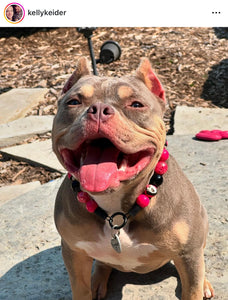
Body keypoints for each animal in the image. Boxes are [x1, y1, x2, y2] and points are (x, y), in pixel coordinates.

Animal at [52, 56, 215, 300]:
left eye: (136, 104)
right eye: (73, 102)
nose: (98, 109)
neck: (115, 209)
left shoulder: (188, 254)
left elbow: (192, 285)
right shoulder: (74, 253)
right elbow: (81, 289)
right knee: (103, 264)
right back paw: (97, 281)